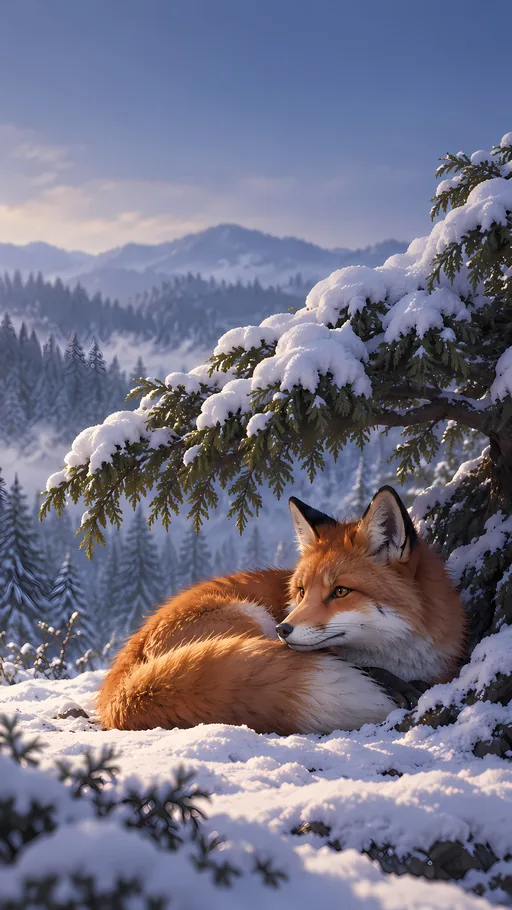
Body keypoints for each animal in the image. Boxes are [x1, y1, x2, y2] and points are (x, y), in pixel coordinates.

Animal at [98, 486, 466, 735]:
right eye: (302, 591)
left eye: (340, 591)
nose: (283, 630)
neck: (402, 653)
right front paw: (393, 686)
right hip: (249, 616)